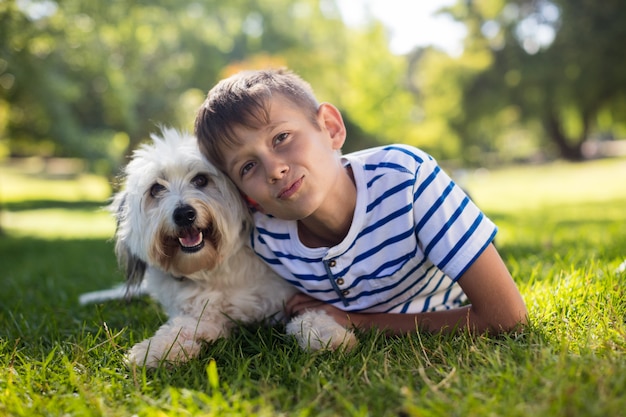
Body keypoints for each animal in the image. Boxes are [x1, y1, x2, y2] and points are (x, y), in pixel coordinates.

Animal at [109, 128, 354, 366]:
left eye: (200, 180)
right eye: (156, 189)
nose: (184, 214)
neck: (215, 268)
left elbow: (310, 315)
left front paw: (327, 335)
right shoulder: (202, 314)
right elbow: (179, 329)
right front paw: (152, 350)